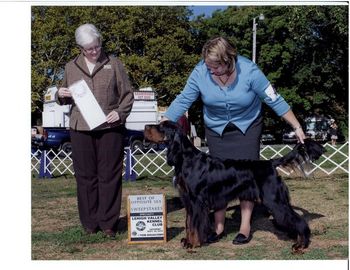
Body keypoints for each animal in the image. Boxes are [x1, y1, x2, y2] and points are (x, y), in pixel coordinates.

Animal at [144, 121, 324, 252]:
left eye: (160, 126)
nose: (145, 127)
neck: (186, 158)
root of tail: (270, 163)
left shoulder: (196, 201)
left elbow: (194, 224)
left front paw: (192, 244)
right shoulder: (188, 200)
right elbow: (189, 223)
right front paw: (188, 240)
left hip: (275, 200)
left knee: (299, 221)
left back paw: (301, 244)